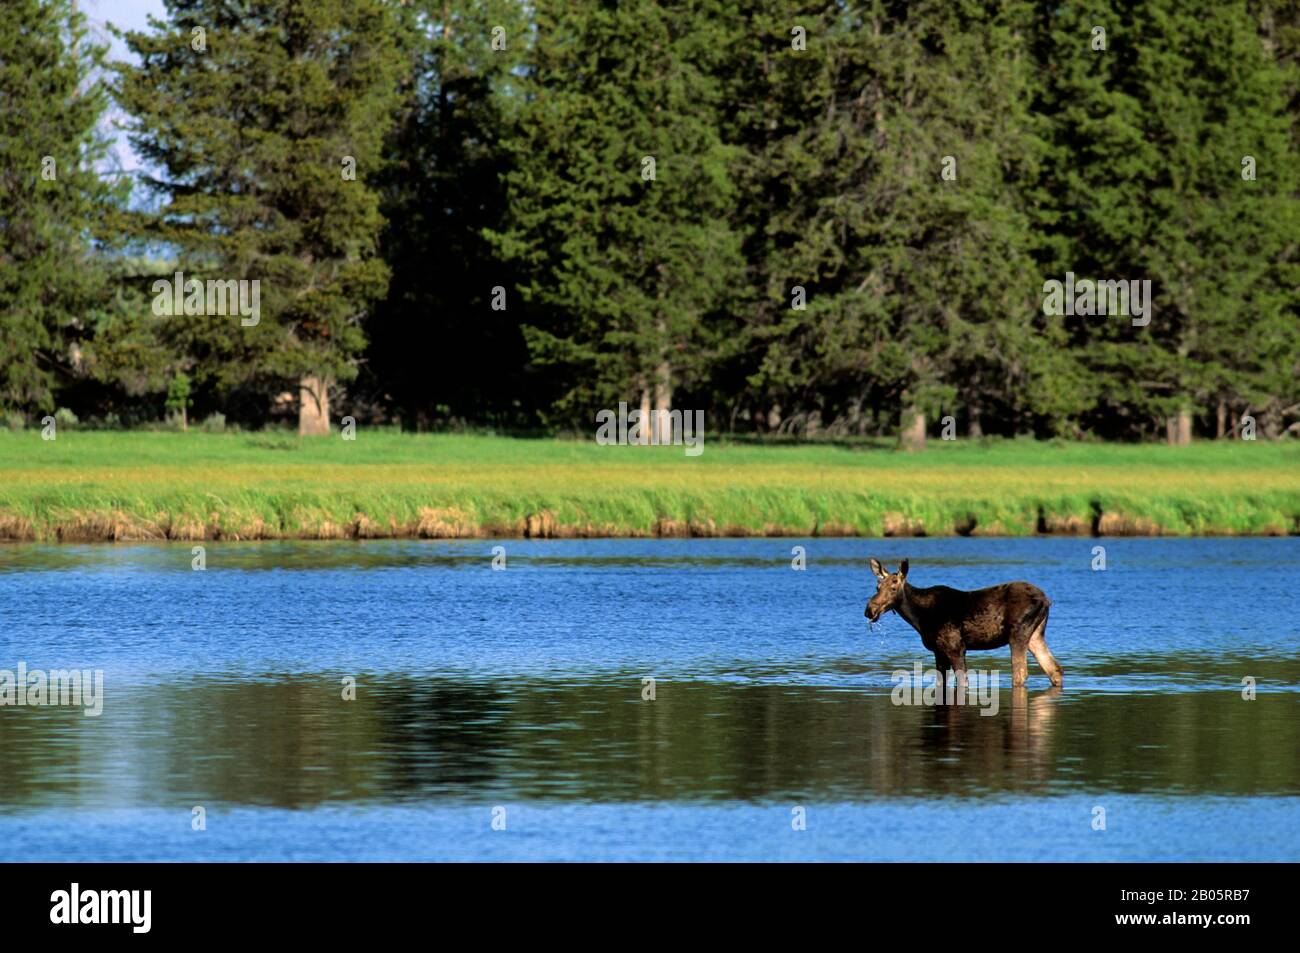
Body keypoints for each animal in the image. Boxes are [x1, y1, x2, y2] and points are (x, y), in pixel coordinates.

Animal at [865, 558, 1063, 689]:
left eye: (893, 587)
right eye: (877, 586)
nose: (869, 610)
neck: (919, 618)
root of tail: (1046, 600)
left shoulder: (955, 647)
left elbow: (962, 681)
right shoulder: (938, 651)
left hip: (1018, 634)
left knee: (1020, 673)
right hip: (1036, 635)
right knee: (1055, 669)